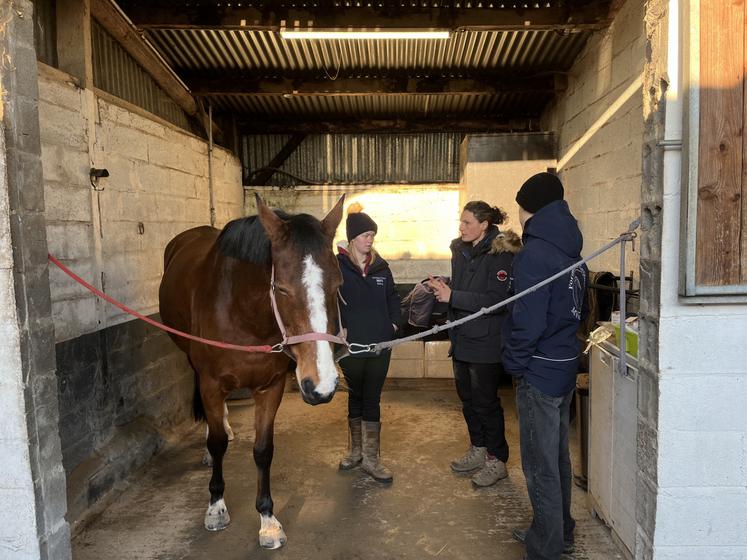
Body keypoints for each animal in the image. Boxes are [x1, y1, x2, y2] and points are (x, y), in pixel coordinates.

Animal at [159, 194, 346, 548]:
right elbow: (218, 443)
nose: (322, 385)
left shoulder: (270, 387)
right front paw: (216, 507)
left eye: (338, 284)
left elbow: (263, 449)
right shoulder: (211, 384)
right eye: (282, 289)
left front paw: (268, 520)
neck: (243, 314)